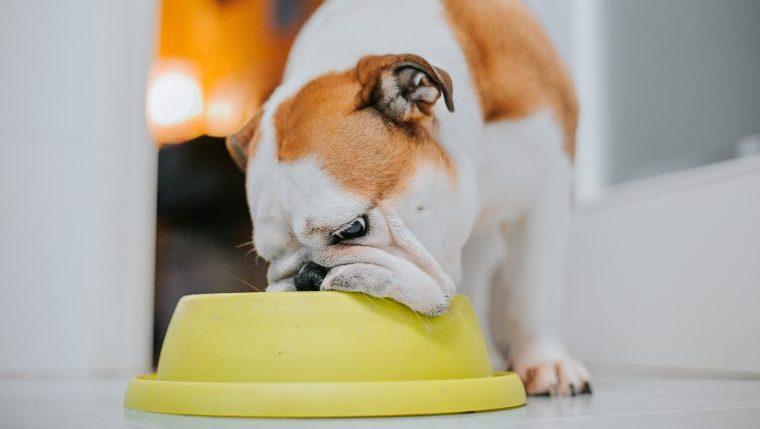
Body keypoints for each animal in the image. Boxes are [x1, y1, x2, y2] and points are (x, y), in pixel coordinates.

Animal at [229, 0, 592, 394]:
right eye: (269, 257)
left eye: (352, 228)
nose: (306, 277)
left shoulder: (543, 197)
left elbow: (535, 291)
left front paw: (546, 362)